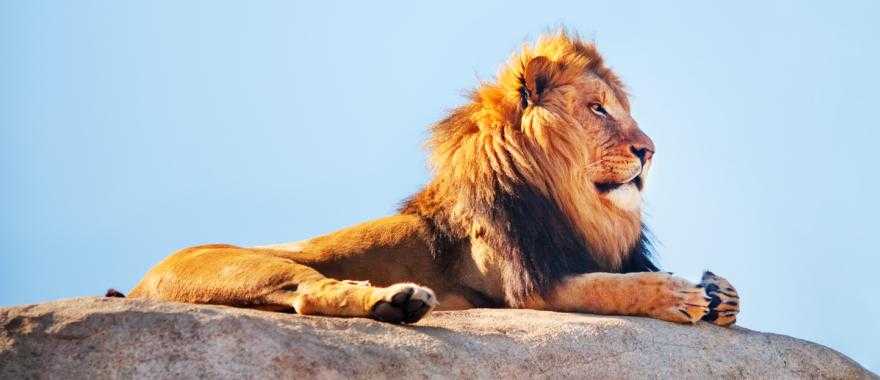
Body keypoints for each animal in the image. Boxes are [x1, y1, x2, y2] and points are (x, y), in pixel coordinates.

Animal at [113, 31, 740, 326]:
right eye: (598, 109)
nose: (649, 151)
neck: (576, 204)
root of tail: (138, 284)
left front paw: (722, 294)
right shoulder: (525, 287)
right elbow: (612, 287)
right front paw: (679, 294)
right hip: (252, 266)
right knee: (307, 292)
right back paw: (398, 300)